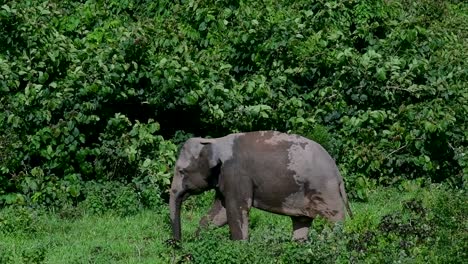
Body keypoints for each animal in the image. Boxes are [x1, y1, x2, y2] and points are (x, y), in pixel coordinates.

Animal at [168, 130, 352, 241]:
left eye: (181, 171)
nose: (177, 244)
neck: (214, 141)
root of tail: (337, 174)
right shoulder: (225, 178)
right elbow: (220, 213)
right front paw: (199, 239)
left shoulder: (236, 174)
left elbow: (236, 209)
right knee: (301, 222)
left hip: (325, 192)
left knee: (335, 222)